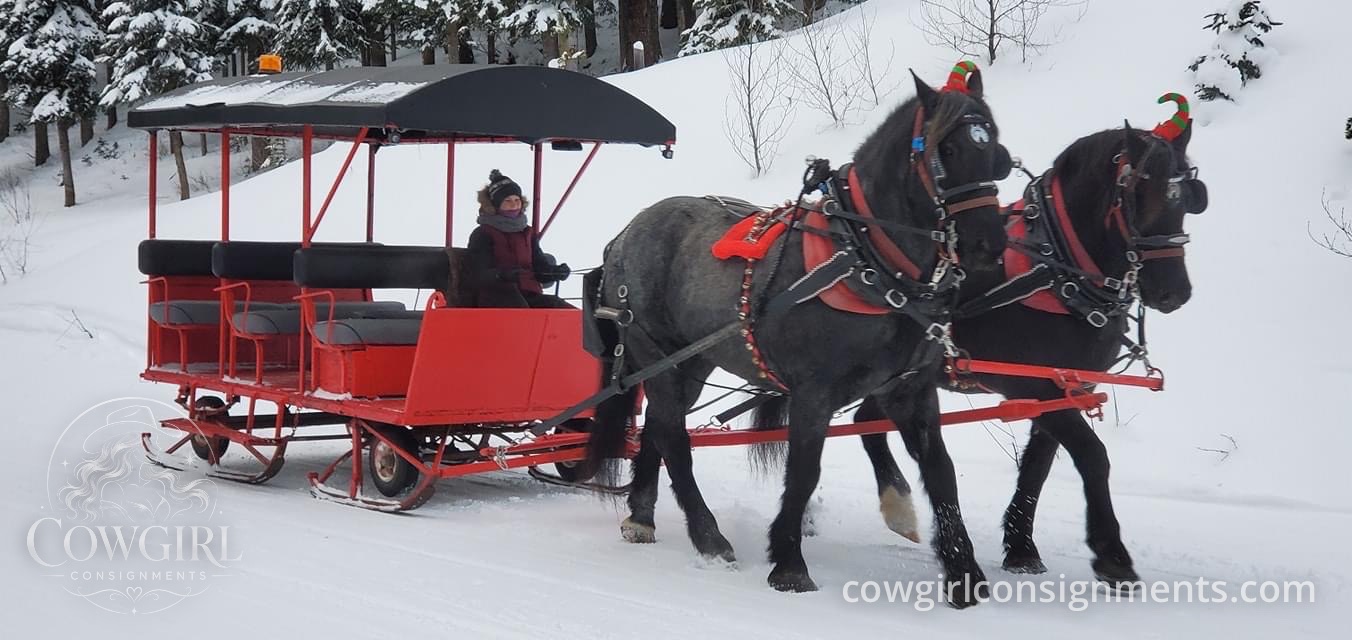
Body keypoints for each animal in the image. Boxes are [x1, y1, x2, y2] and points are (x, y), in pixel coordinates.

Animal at [579, 62, 1012, 608]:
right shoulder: (813, 394)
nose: (989, 243)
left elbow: (942, 474)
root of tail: (625, 232)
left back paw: (641, 515)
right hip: (654, 350)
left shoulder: (911, 391)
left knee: (659, 424)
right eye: (947, 151)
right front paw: (788, 562)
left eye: (995, 147)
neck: (867, 262)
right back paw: (709, 537)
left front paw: (962, 572)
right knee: (674, 436)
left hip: (689, 362)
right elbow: (804, 472)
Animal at [850, 95, 1206, 590]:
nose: (1174, 292)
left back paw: (896, 507)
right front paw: (1112, 555)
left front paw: (1021, 548)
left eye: (1190, 198)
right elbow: (1093, 456)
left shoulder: (1062, 388)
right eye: (1139, 195)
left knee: (865, 420)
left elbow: (1038, 466)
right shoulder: (1033, 386)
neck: (1057, 270)